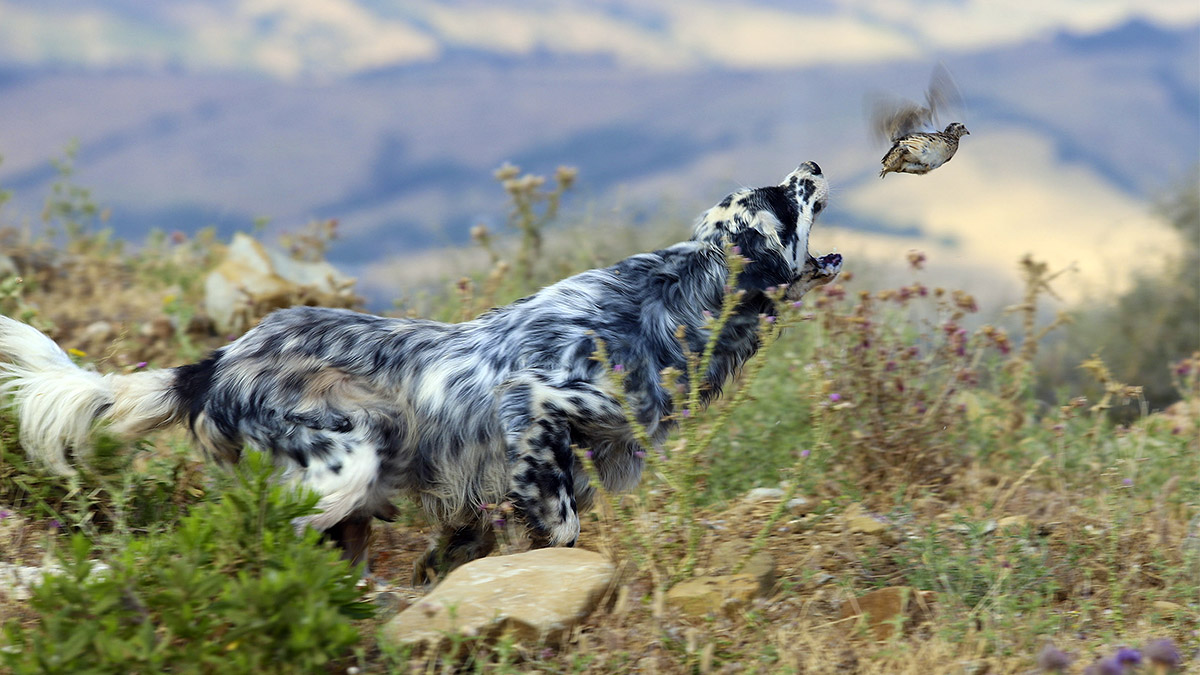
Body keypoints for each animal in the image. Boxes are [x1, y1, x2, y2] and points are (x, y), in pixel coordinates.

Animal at [0, 159, 844, 581]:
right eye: (785, 196)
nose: (812, 160)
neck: (668, 299)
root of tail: (213, 363)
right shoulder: (534, 403)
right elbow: (563, 528)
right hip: (343, 464)